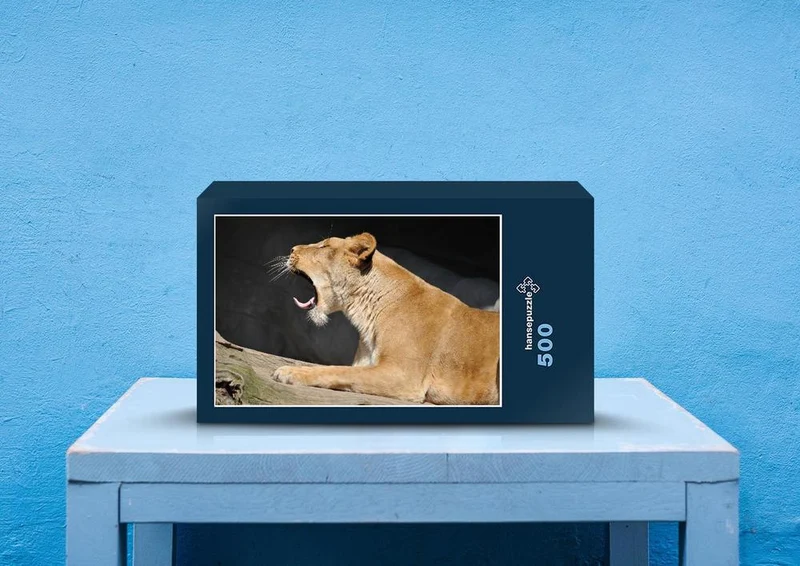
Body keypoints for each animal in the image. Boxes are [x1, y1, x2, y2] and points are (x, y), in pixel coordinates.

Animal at [270, 232, 500, 405]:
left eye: (323, 246)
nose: (291, 250)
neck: (365, 312)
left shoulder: (404, 376)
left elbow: (338, 371)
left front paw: (291, 372)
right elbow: (341, 370)